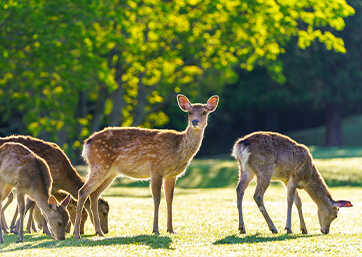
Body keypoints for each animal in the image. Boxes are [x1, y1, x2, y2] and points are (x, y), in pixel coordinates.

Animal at [73, 94, 218, 238]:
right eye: (189, 112)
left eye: (204, 112)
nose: (195, 121)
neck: (178, 149)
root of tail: (86, 143)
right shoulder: (156, 169)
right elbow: (157, 199)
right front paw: (155, 230)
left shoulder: (171, 175)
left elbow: (169, 200)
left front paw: (171, 229)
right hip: (100, 164)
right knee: (83, 191)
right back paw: (77, 234)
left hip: (110, 172)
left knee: (94, 194)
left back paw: (100, 232)